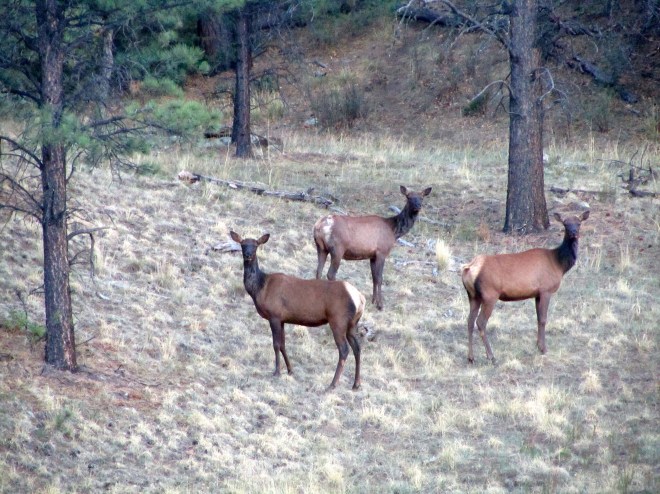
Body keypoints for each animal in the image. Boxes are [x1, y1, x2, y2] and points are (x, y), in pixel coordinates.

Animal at [230, 231, 367, 390]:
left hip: (338, 319)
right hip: (352, 323)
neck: (260, 288)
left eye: (256, 245)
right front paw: (290, 370)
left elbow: (276, 344)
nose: (248, 255)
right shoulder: (282, 319)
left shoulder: (274, 315)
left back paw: (333, 383)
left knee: (344, 349)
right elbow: (283, 345)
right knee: (357, 347)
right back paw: (356, 384)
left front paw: (277, 371)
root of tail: (360, 298)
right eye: (242, 244)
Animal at [460, 210, 590, 364]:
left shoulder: (537, 293)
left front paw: (538, 345)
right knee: (480, 322)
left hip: (473, 296)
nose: (573, 233)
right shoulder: (546, 289)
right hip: (490, 294)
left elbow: (538, 318)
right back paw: (491, 356)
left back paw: (471, 357)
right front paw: (544, 349)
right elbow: (544, 319)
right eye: (565, 223)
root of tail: (469, 269)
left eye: (579, 222)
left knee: (469, 321)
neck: (559, 264)